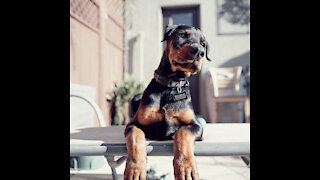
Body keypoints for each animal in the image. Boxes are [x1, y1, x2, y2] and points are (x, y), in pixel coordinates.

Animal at [124, 24, 211, 180]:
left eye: (203, 44)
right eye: (182, 34)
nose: (199, 52)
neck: (172, 83)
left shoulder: (196, 125)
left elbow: (183, 132)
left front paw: (185, 167)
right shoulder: (133, 124)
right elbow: (135, 136)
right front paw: (135, 169)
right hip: (136, 98)